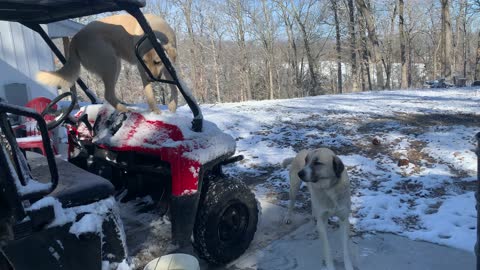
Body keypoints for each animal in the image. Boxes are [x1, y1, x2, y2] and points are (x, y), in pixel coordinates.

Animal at [36, 13, 177, 114]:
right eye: (145, 62)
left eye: (157, 62)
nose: (150, 79)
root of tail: (75, 39)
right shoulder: (141, 68)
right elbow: (149, 93)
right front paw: (156, 112)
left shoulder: (167, 67)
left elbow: (174, 86)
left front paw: (172, 106)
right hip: (111, 64)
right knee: (108, 94)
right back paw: (124, 109)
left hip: (115, 66)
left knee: (109, 94)